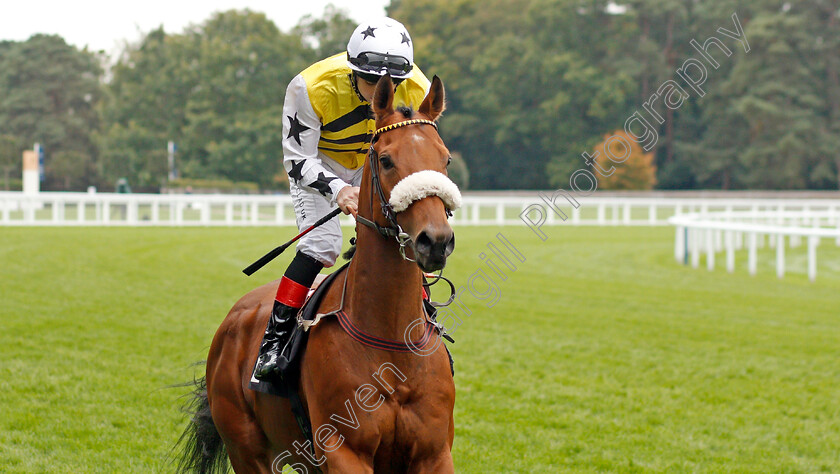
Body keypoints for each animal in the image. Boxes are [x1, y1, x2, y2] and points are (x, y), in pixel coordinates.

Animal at [173, 76, 456, 472]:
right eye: (386, 160)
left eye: (445, 159)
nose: (436, 241)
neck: (391, 340)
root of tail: (233, 317)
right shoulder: (342, 450)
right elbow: (301, 159)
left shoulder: (434, 452)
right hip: (247, 450)